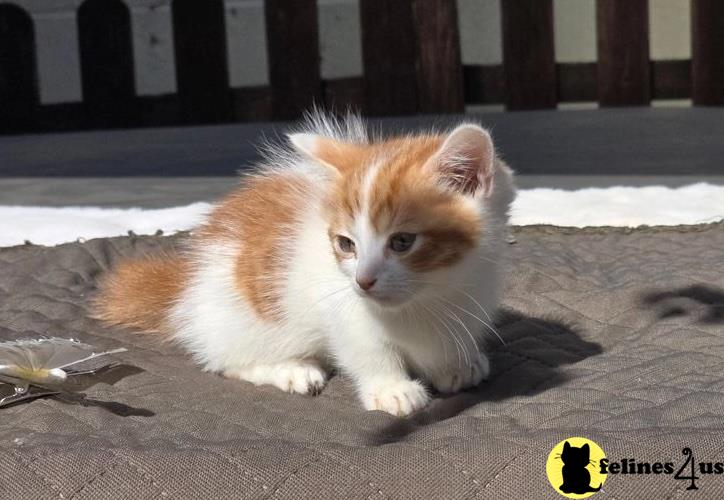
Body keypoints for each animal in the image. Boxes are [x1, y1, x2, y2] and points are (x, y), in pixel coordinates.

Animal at [94, 113, 516, 418]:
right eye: (346, 244)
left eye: (402, 242)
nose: (363, 281)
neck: (431, 293)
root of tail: (185, 283)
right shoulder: (343, 309)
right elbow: (366, 348)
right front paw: (391, 389)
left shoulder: (474, 292)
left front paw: (457, 364)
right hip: (240, 317)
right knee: (224, 359)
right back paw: (292, 369)